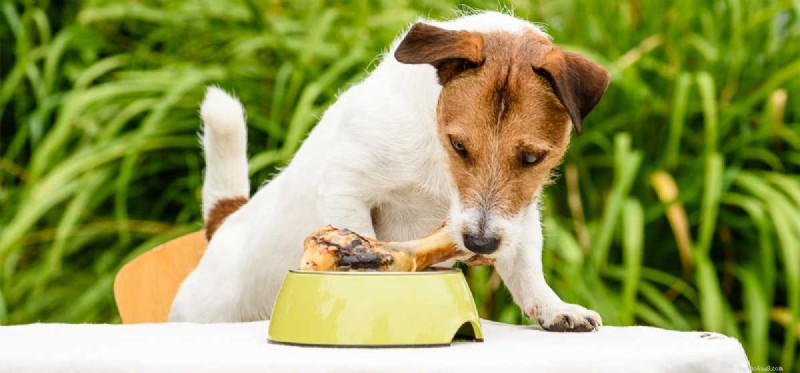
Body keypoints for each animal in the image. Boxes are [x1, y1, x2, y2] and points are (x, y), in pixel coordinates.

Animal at [167, 10, 608, 332]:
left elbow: (526, 265)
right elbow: (362, 239)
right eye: (459, 145)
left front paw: (553, 307)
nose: (480, 244)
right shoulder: (347, 187)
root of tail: (224, 226)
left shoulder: (518, 214)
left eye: (532, 158)